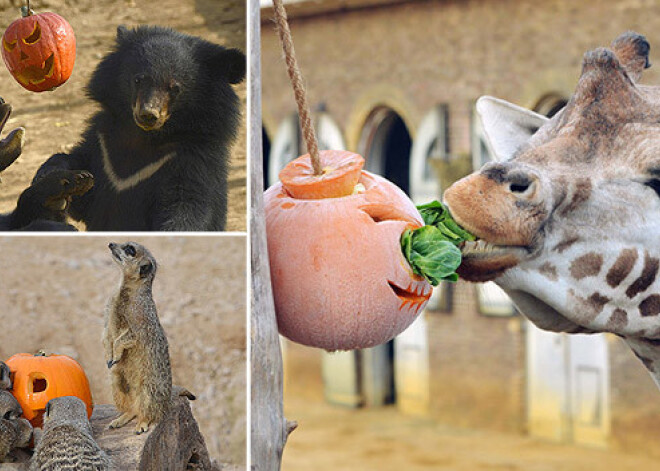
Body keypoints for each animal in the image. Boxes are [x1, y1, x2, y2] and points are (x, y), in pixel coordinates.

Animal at [34, 24, 245, 231]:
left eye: (175, 88)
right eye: (138, 79)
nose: (148, 115)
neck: (144, 136)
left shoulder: (192, 158)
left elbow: (188, 204)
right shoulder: (102, 144)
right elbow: (80, 178)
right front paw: (54, 178)